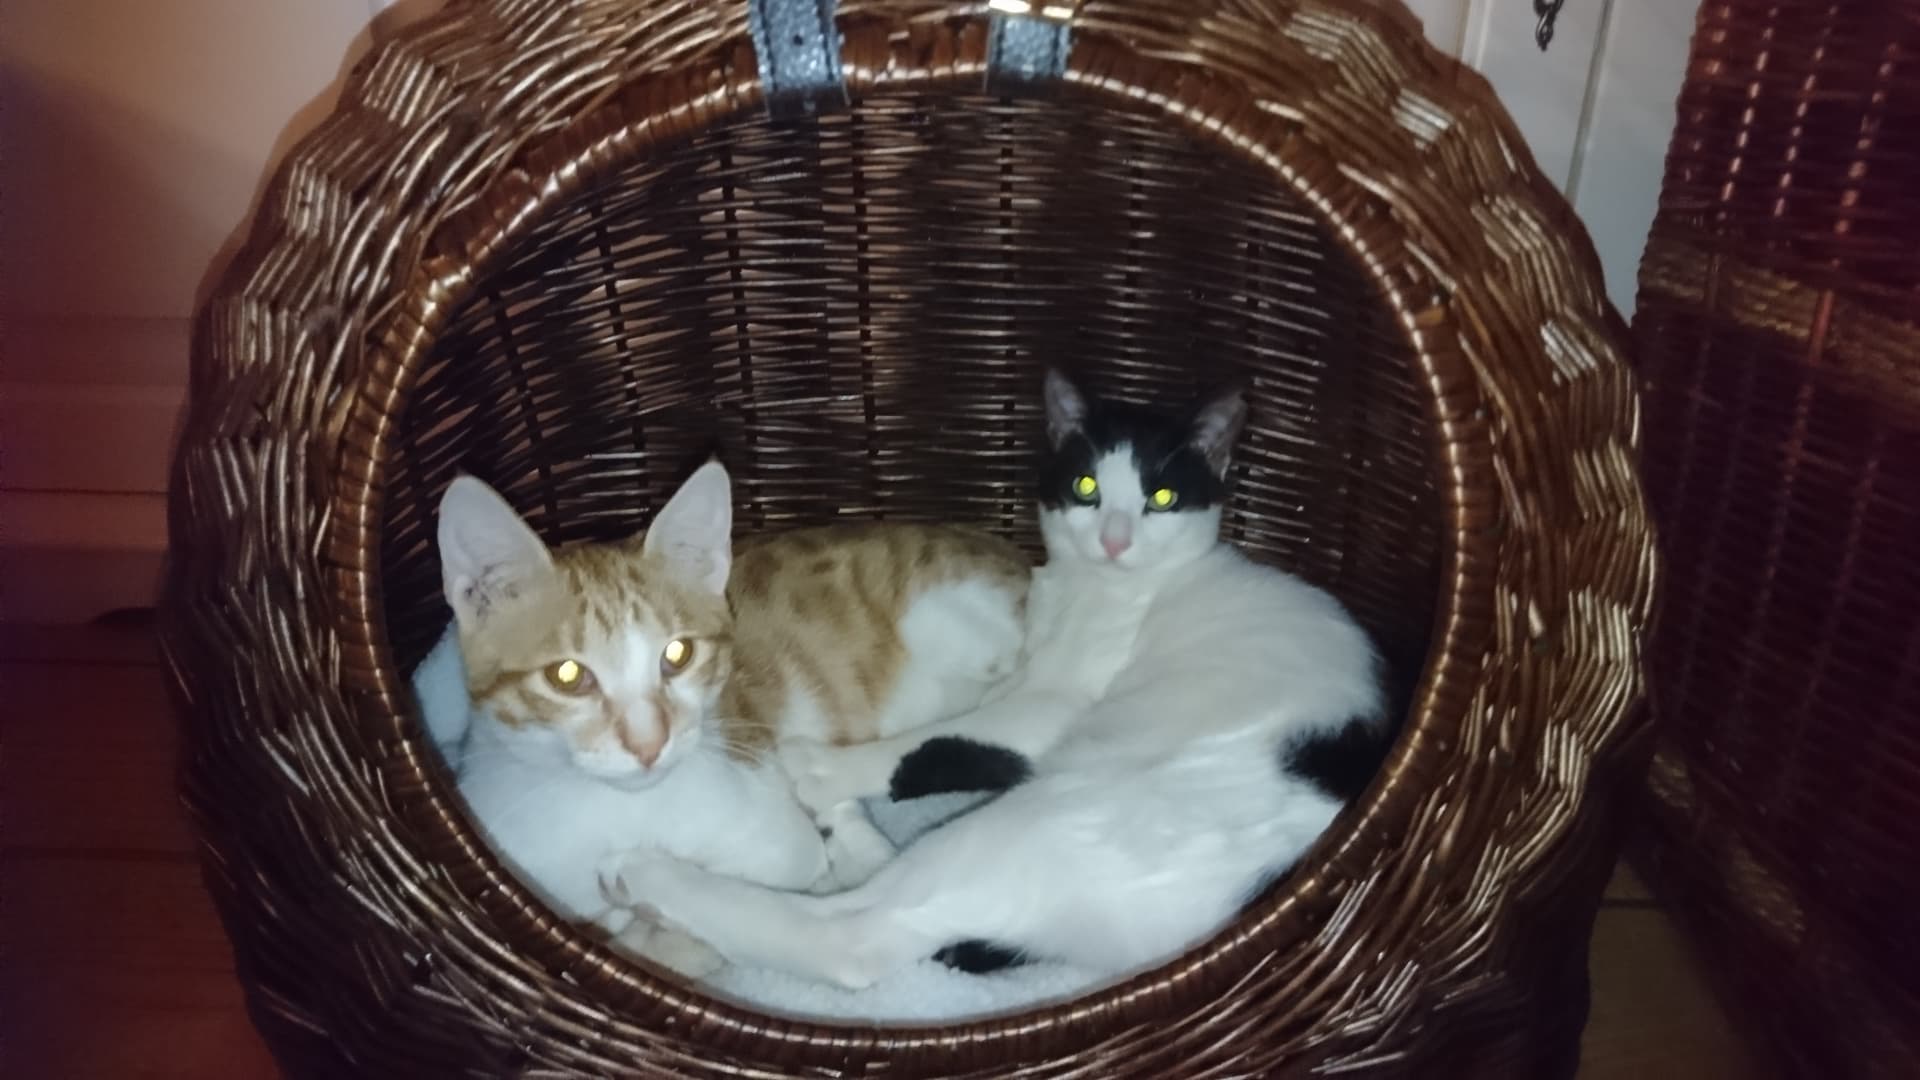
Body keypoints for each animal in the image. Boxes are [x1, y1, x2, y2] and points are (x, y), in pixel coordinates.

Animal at [599, 369, 1390, 990]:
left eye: (1162, 498)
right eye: (1087, 486)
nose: (1114, 539)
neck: (1111, 589)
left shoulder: (1051, 702)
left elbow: (937, 742)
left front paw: (816, 768)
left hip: (1039, 823)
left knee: (849, 935)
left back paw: (649, 882)